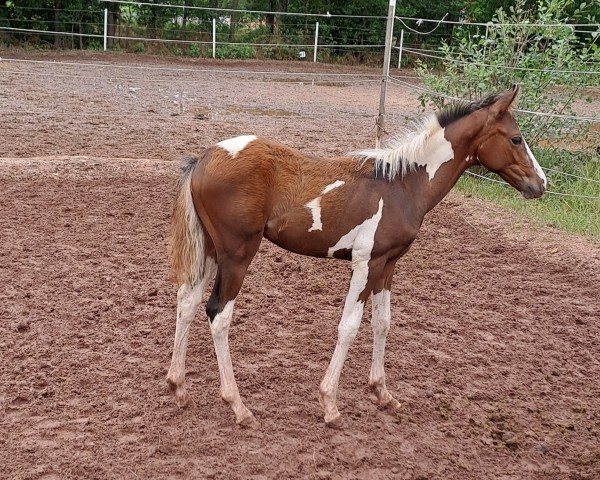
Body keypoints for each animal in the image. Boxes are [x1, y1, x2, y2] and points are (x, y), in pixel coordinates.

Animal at [166, 86, 548, 428]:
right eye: (516, 139)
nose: (540, 184)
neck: (403, 186)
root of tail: (202, 159)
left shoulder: (388, 264)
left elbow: (383, 322)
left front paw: (382, 393)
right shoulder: (366, 262)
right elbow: (349, 327)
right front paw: (330, 406)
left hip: (211, 250)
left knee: (187, 301)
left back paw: (178, 388)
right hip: (237, 254)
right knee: (218, 314)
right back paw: (239, 407)